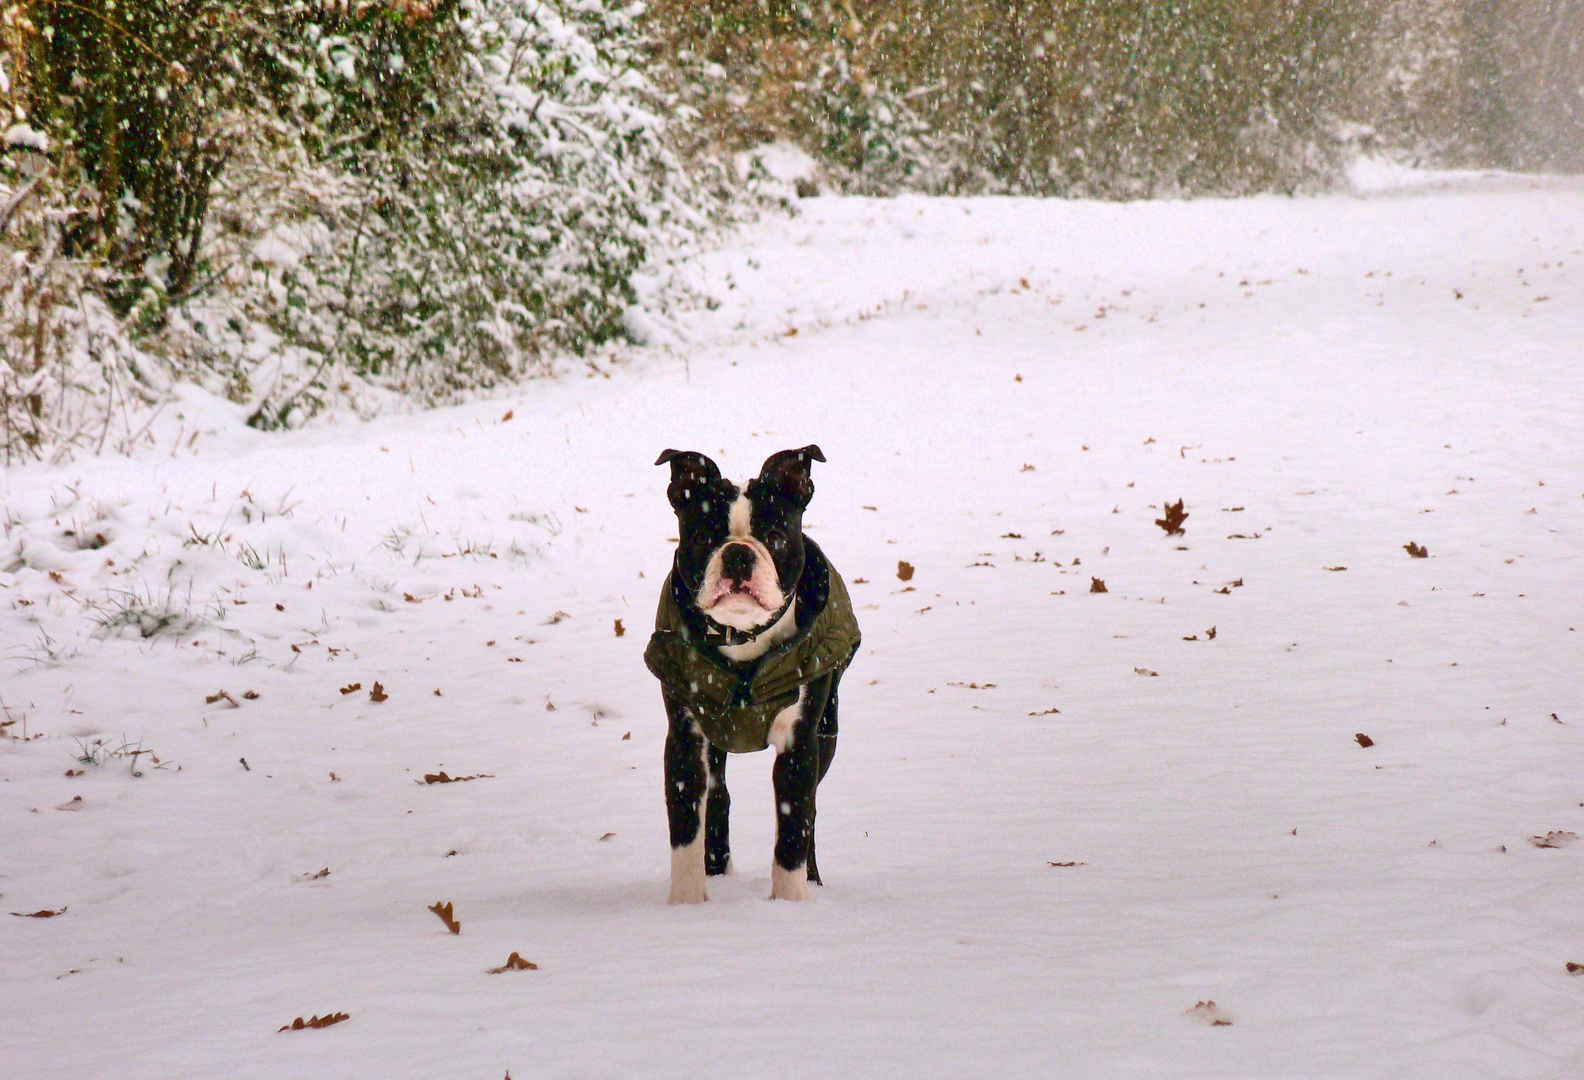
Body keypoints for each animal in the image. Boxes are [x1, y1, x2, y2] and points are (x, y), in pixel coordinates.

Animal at [643, 443, 861, 899]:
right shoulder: (685, 741)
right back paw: (716, 868)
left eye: (775, 538)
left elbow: (794, 826)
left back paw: (813, 879)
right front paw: (686, 903)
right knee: (717, 795)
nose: (739, 554)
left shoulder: (800, 742)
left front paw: (790, 902)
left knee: (811, 811)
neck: (742, 638)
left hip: (827, 732)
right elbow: (685, 830)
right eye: (702, 538)